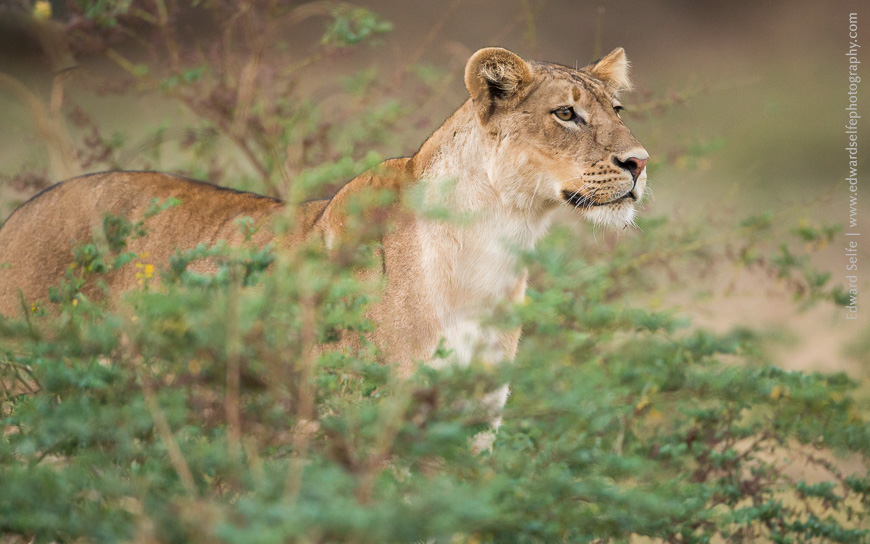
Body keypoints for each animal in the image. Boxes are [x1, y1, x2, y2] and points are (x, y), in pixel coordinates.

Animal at [0, 47, 648, 444]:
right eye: (564, 114)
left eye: (617, 109)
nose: (640, 162)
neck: (498, 243)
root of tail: (16, 217)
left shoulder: (471, 429)